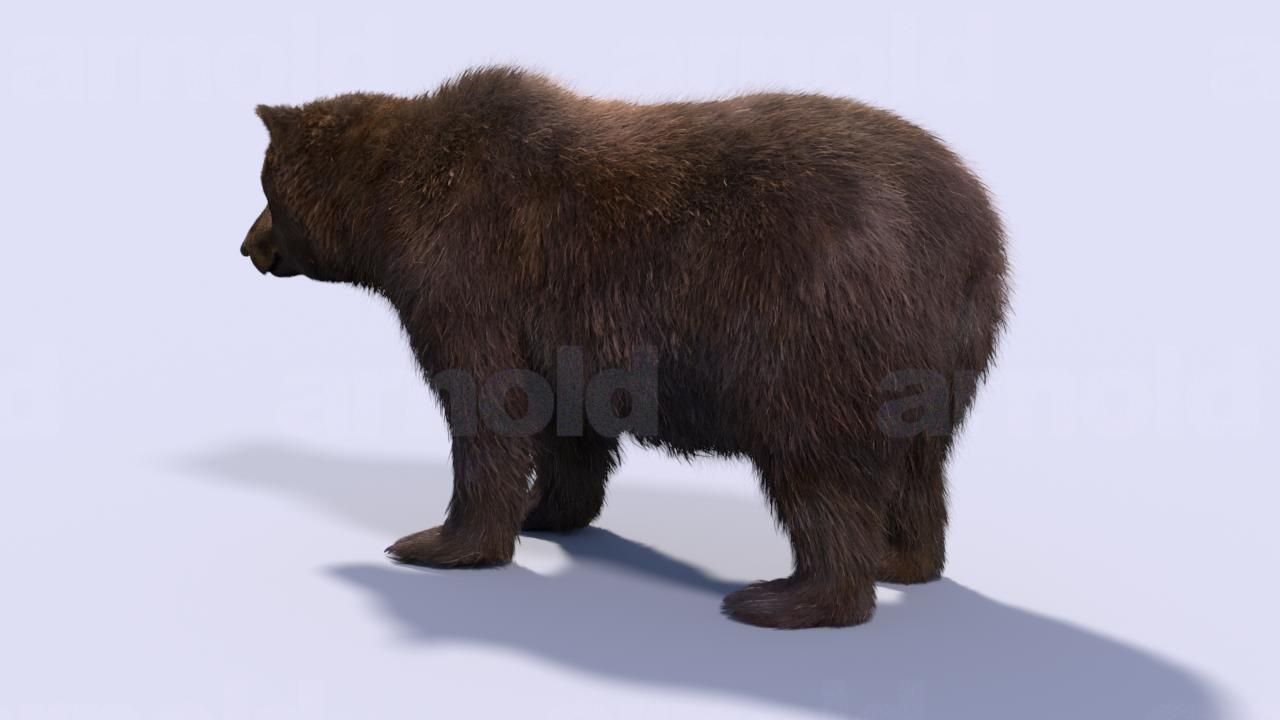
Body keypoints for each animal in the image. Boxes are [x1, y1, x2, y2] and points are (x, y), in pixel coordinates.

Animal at [241, 66, 1009, 629]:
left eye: (266, 185)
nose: (249, 246)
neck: (396, 205)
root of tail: (970, 222)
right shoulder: (563, 328)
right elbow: (561, 421)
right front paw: (543, 509)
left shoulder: (471, 272)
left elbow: (485, 403)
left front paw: (439, 541)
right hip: (941, 348)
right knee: (920, 460)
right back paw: (901, 559)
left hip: (816, 324)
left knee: (819, 463)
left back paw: (787, 597)